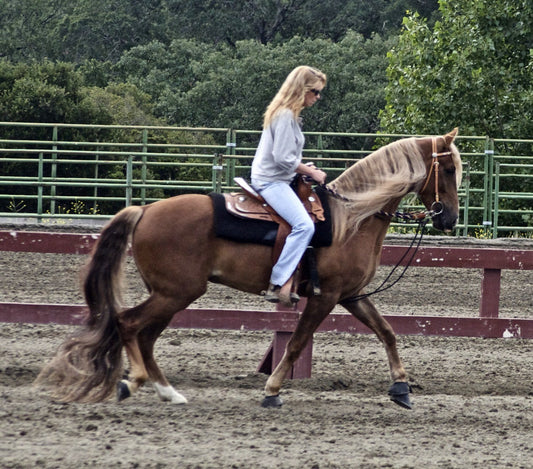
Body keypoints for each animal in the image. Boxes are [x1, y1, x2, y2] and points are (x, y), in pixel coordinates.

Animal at [36, 129, 462, 410]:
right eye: (448, 171)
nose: (449, 219)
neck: (351, 220)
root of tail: (144, 211)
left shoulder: (351, 296)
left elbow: (387, 332)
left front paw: (401, 389)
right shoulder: (325, 297)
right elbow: (296, 342)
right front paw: (272, 390)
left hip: (172, 294)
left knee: (146, 335)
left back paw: (167, 391)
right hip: (176, 292)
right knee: (129, 324)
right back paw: (135, 382)